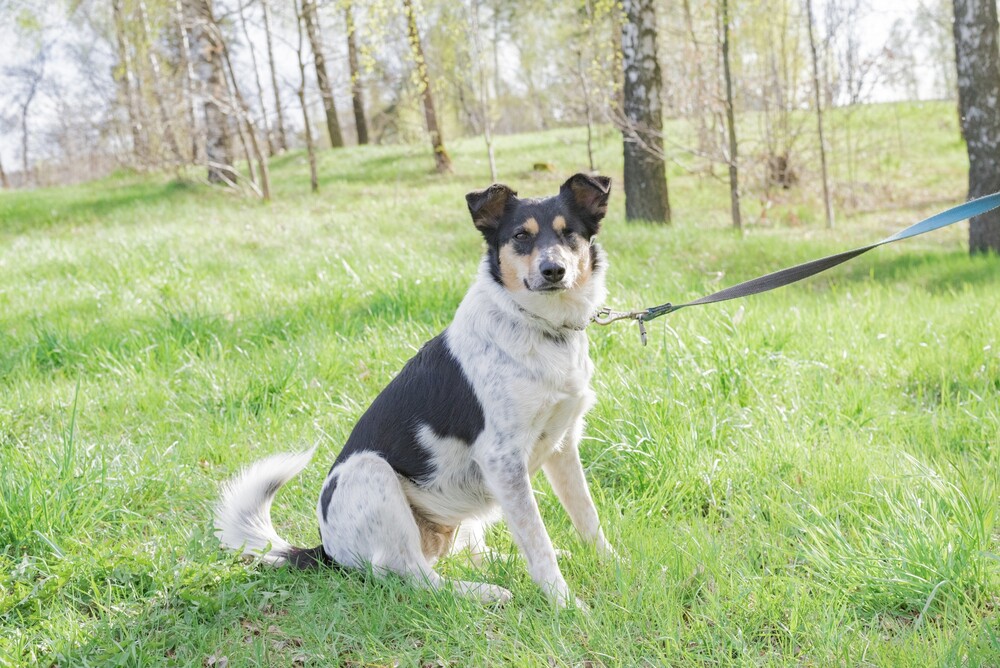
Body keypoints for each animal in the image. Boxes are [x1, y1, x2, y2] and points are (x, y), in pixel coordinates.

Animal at [214, 172, 612, 604]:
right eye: (521, 236)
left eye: (569, 234)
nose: (553, 270)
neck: (540, 327)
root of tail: (327, 551)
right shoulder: (501, 458)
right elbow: (537, 542)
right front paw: (566, 604)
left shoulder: (562, 445)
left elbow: (587, 517)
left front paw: (615, 567)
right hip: (371, 472)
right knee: (415, 575)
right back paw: (484, 592)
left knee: (462, 553)